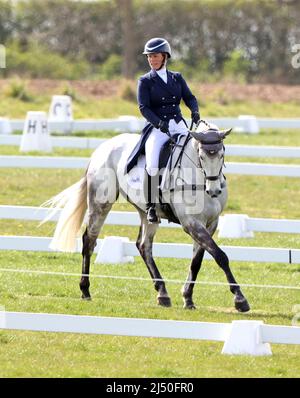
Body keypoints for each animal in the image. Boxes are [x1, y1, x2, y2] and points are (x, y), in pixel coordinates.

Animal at [44, 123, 251, 312]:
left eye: (222, 154)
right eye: (201, 156)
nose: (214, 191)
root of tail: (102, 148)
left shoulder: (210, 223)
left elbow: (197, 262)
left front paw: (188, 298)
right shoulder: (191, 223)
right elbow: (220, 256)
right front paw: (240, 299)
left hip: (146, 213)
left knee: (144, 246)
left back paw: (162, 293)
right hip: (100, 203)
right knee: (89, 240)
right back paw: (85, 290)